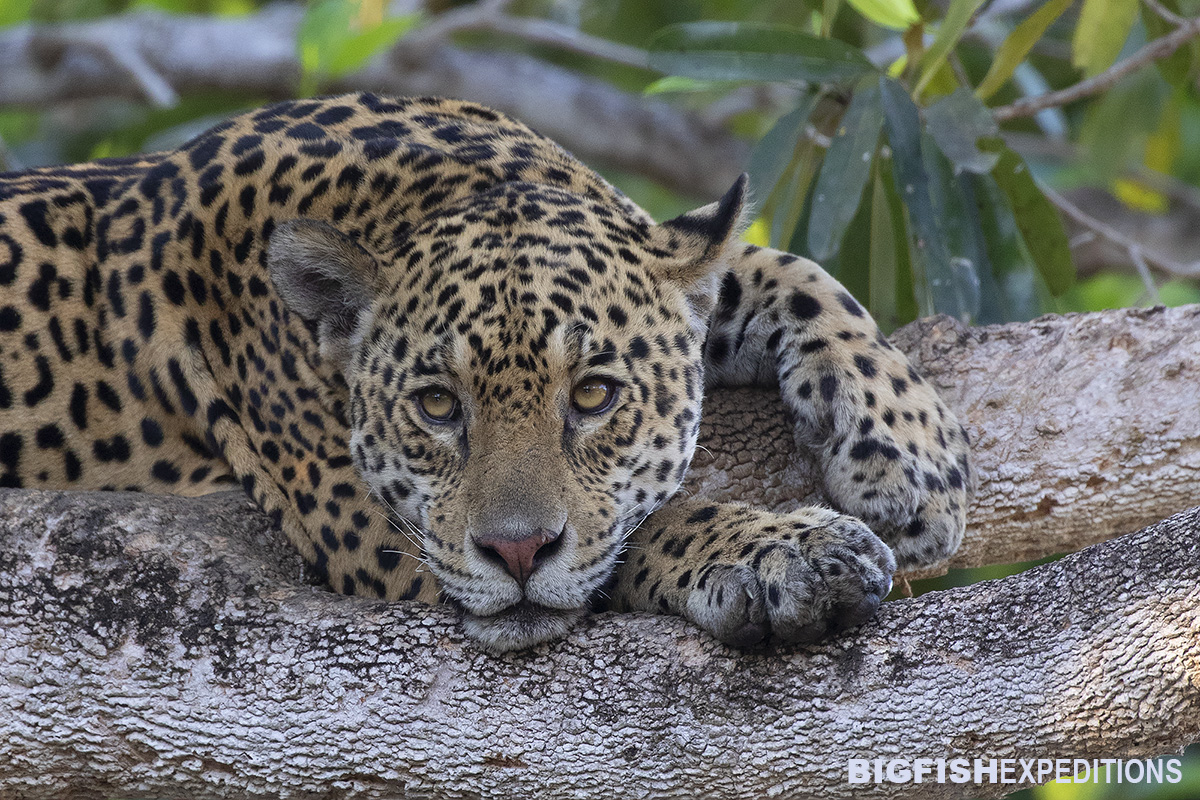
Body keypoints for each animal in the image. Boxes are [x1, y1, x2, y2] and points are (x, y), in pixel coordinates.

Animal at [0, 93, 972, 651]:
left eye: (594, 395)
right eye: (436, 406)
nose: (514, 553)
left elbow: (784, 269)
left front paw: (912, 459)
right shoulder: (384, 543)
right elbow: (637, 532)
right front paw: (782, 552)